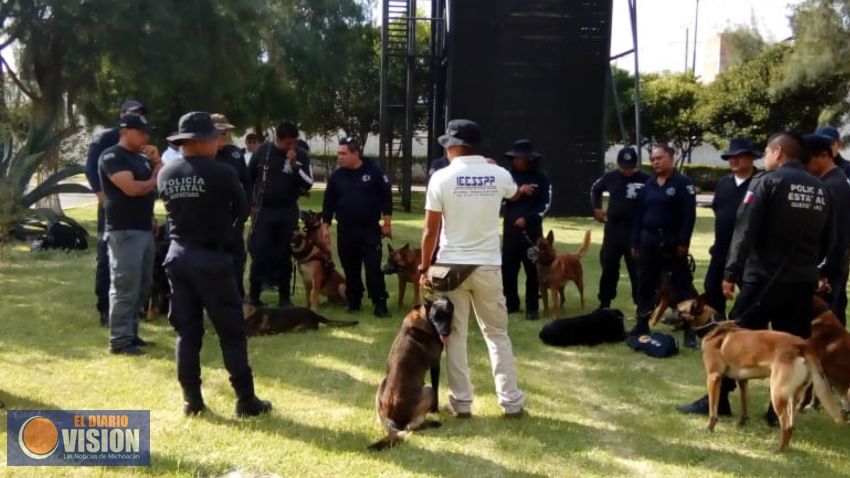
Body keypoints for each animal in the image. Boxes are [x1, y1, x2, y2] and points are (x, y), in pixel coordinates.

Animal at [696, 322, 840, 452]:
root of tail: (802, 345)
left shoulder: (713, 377)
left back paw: (778, 449)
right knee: (791, 425)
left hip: (777, 394)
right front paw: (741, 423)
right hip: (793, 396)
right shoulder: (742, 381)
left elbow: (712, 411)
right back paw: (786, 446)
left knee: (786, 426)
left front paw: (709, 428)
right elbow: (744, 406)